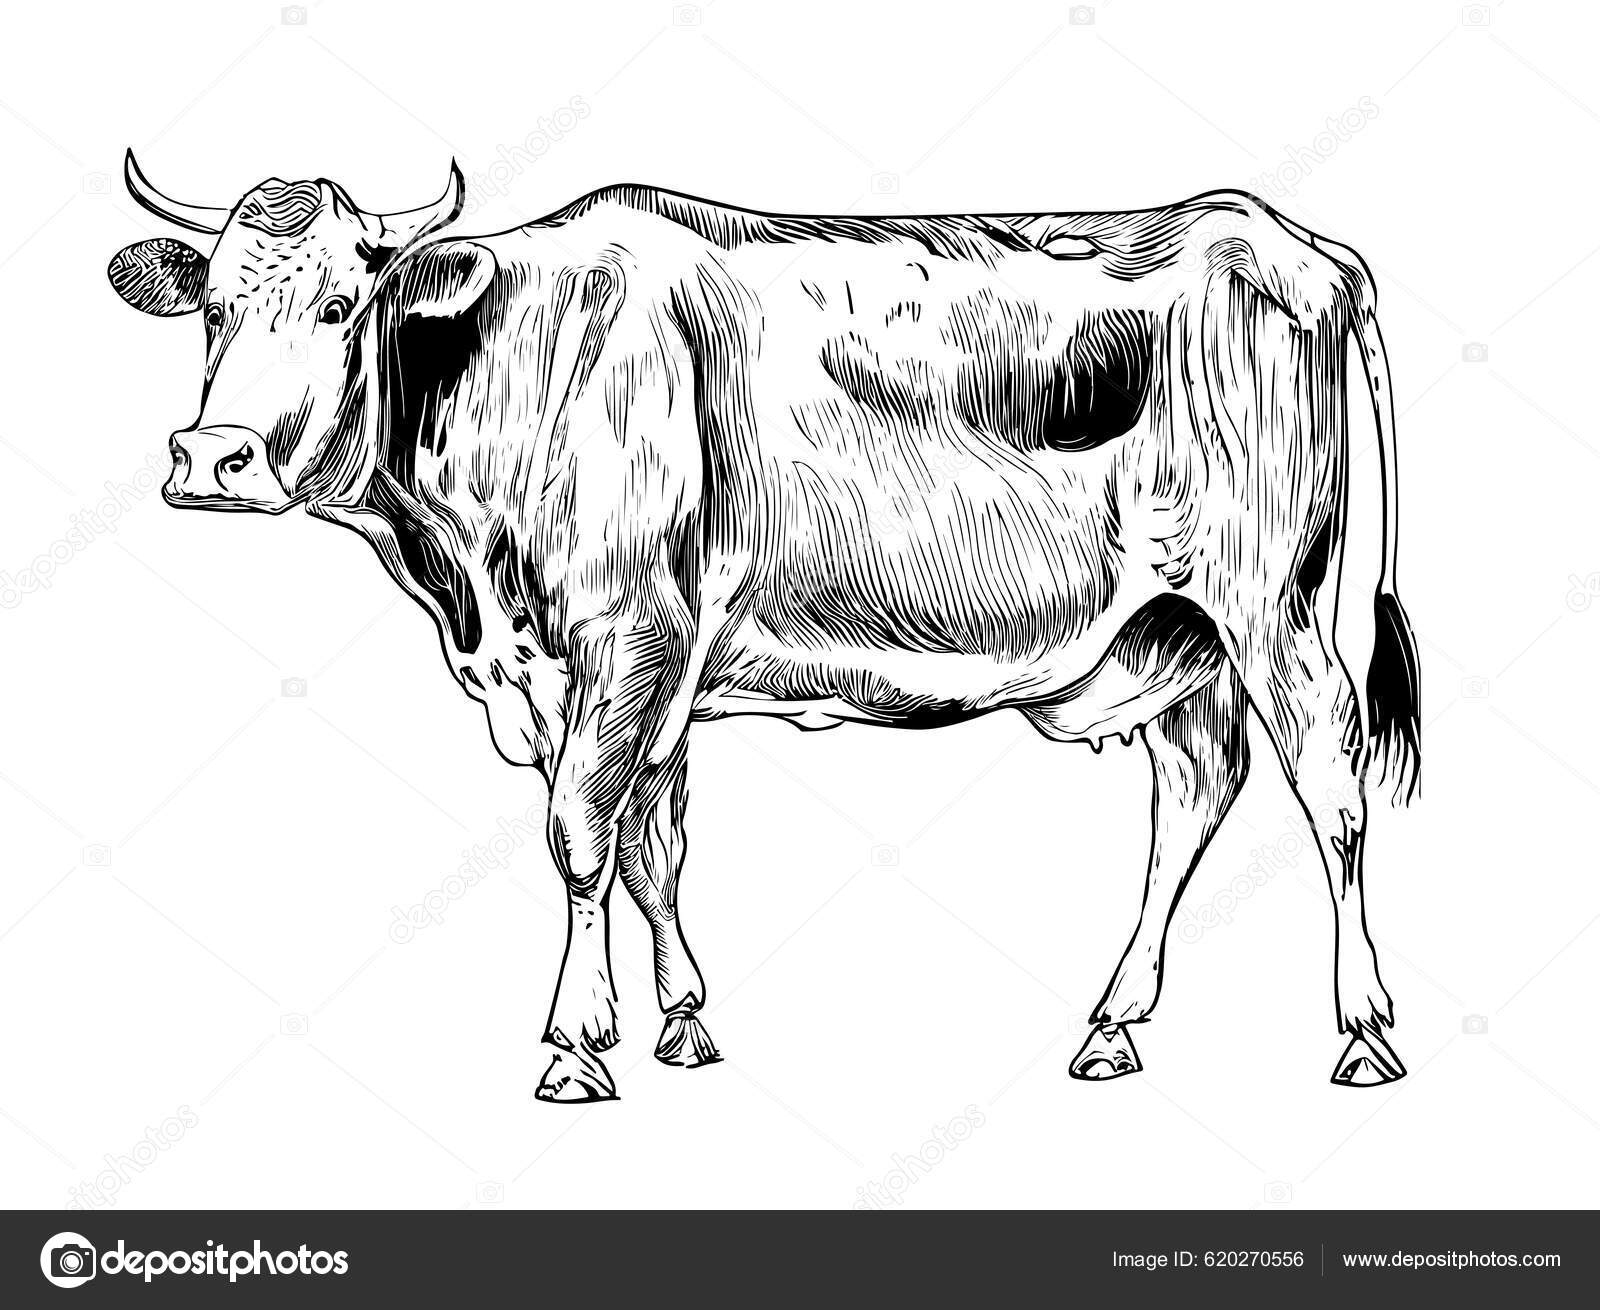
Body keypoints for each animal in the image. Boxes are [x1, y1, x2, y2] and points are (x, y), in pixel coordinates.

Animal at [108, 152, 1419, 1101]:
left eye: (340, 304)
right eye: (212, 309)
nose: (210, 457)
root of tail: (1281, 238)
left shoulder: (624, 632)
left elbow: (579, 831)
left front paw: (576, 1041)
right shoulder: (633, 670)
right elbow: (650, 841)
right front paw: (680, 1018)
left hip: (1270, 599)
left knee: (1331, 778)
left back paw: (1361, 1031)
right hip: (1171, 629)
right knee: (1198, 785)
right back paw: (1111, 1025)